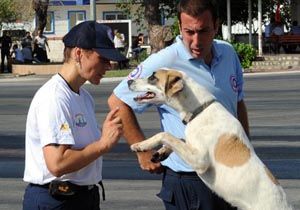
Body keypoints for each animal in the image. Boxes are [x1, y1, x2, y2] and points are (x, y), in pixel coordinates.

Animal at [127, 68, 292, 210]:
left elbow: (166, 134)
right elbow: (179, 138)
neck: (200, 110)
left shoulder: (200, 161)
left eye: (153, 77)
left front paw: (141, 144)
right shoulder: (191, 145)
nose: (128, 81)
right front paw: (160, 152)